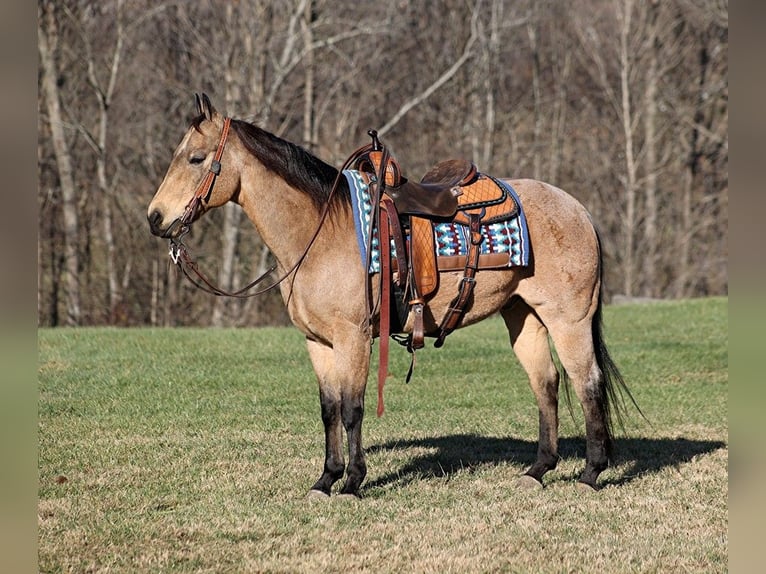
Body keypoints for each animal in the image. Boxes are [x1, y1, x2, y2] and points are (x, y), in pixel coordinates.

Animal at [147, 94, 640, 500]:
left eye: (195, 158)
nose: (155, 218)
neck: (322, 233)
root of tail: (578, 209)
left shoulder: (353, 338)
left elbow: (352, 409)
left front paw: (352, 483)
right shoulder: (318, 343)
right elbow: (328, 410)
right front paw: (325, 480)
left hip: (569, 320)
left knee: (587, 382)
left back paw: (591, 474)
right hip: (524, 316)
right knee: (547, 383)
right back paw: (537, 472)